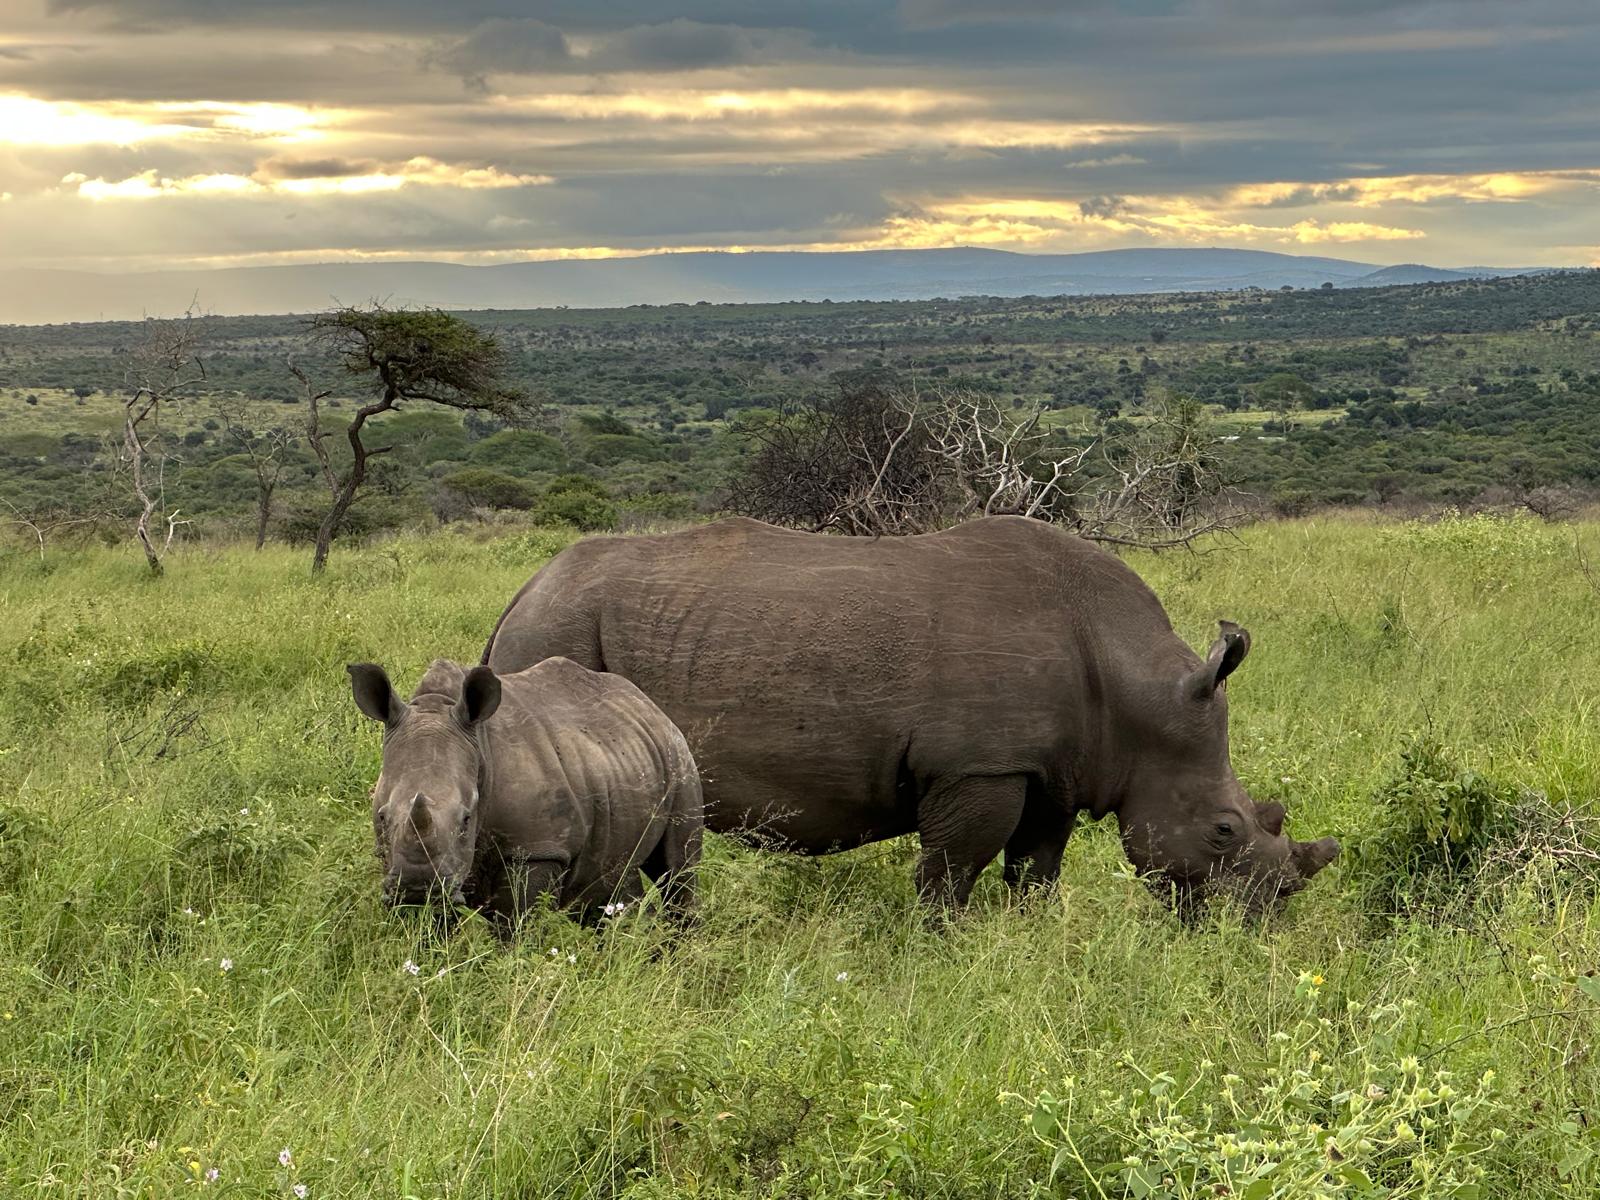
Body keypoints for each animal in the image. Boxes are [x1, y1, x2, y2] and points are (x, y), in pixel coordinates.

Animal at [348, 656, 702, 925]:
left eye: (466, 819)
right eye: (382, 817)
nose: (417, 888)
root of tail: (650, 706)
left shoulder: (537, 848)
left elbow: (514, 926)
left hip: (679, 758)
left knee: (678, 869)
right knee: (613, 878)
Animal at [482, 516, 1338, 914]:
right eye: (1225, 830)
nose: (1262, 921)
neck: (1141, 695)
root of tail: (520, 594)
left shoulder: (1055, 769)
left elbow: (1035, 871)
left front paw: (1023, 944)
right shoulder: (978, 766)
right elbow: (951, 873)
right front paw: (942, 955)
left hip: (563, 627)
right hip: (560, 630)